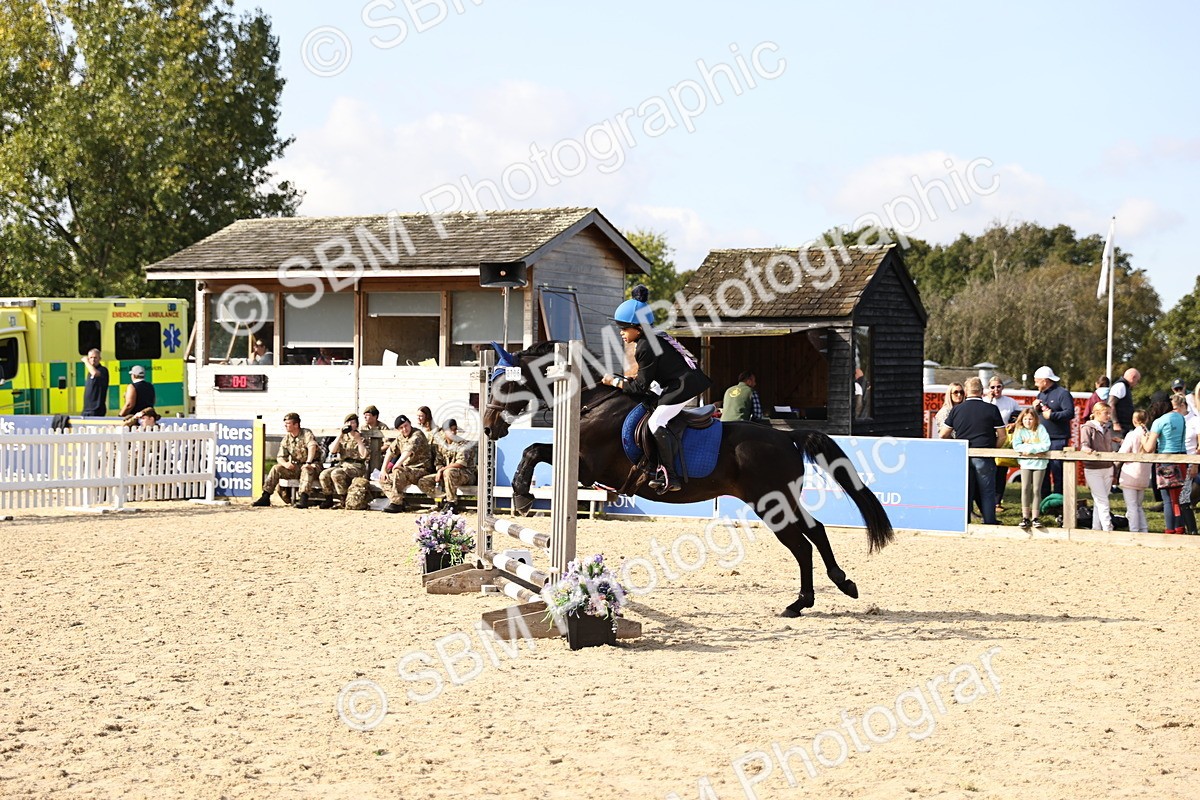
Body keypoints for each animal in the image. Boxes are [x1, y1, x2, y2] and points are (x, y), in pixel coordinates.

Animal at [481, 341, 895, 617]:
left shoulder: (587, 467)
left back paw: (803, 601)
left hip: (770, 502)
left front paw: (521, 495)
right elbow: (534, 448)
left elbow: (534, 449)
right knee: (815, 532)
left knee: (802, 543)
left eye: (505, 385)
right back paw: (835, 587)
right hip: (781, 500)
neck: (591, 402)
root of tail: (786, 437)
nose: (487, 427)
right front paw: (521, 494)